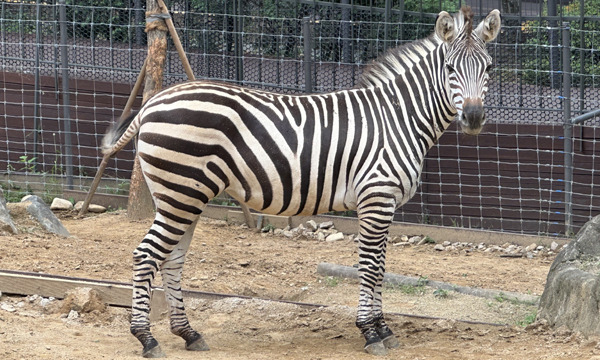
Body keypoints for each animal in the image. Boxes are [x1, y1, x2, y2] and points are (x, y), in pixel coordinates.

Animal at [102, 7, 502, 358]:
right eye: (449, 68)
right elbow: (370, 266)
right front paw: (371, 332)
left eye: (489, 67)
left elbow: (382, 266)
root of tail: (152, 102)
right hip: (181, 193)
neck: (397, 119)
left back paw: (188, 333)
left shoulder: (384, 204)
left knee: (172, 258)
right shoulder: (376, 198)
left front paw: (384, 328)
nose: (473, 117)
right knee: (146, 254)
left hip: (180, 196)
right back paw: (146, 338)